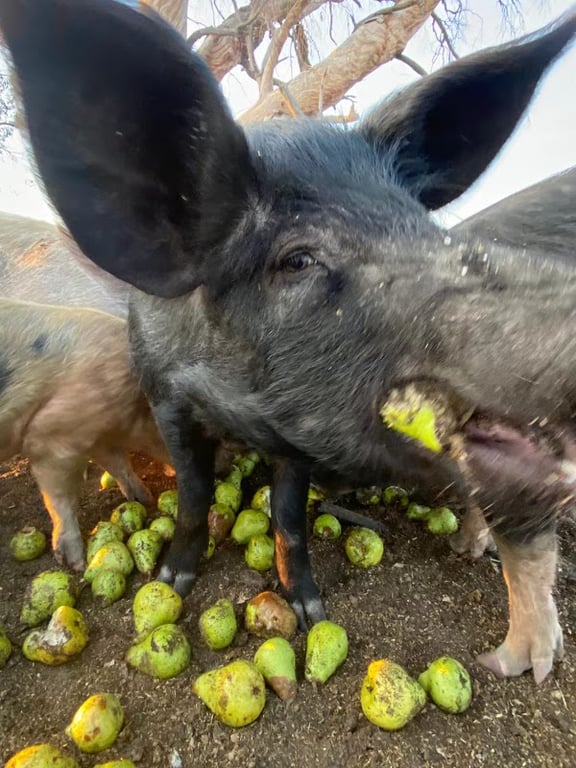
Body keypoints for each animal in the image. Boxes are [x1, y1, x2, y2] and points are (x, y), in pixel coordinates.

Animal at [0, 298, 170, 569]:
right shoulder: (51, 437)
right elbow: (60, 497)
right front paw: (74, 563)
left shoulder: (96, 434)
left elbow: (118, 463)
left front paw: (143, 498)